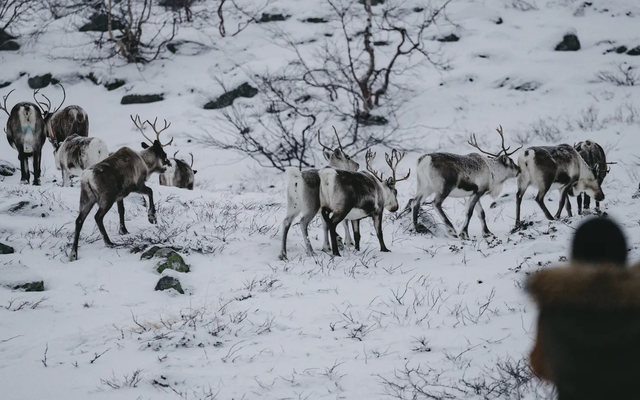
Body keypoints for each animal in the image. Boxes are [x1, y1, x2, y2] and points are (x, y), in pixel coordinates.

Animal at [69, 115, 173, 261]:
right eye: (164, 154)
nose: (169, 164)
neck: (145, 163)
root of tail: (87, 178)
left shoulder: (120, 196)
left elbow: (121, 210)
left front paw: (123, 230)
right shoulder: (136, 185)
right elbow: (150, 192)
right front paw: (152, 217)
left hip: (86, 199)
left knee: (79, 220)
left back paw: (73, 253)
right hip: (106, 198)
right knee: (98, 217)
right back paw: (109, 242)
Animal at [279, 129, 359, 260]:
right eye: (347, 157)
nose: (357, 165)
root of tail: (297, 177)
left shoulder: (324, 209)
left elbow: (325, 225)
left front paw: (327, 246)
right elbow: (344, 222)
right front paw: (347, 243)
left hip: (293, 206)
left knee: (286, 222)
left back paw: (283, 254)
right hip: (311, 207)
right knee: (302, 222)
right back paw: (311, 252)